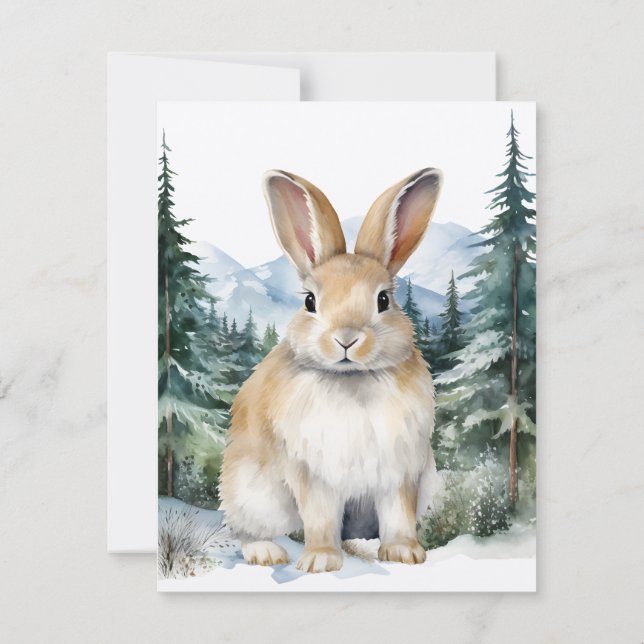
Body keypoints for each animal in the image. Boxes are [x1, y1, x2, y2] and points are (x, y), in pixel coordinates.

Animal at [219, 168, 443, 573]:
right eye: (310, 301)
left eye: (383, 300)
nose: (347, 339)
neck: (352, 381)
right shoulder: (313, 474)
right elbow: (320, 517)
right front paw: (321, 560)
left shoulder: (401, 472)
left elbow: (398, 515)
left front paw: (405, 553)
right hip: (252, 494)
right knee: (249, 530)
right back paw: (267, 552)